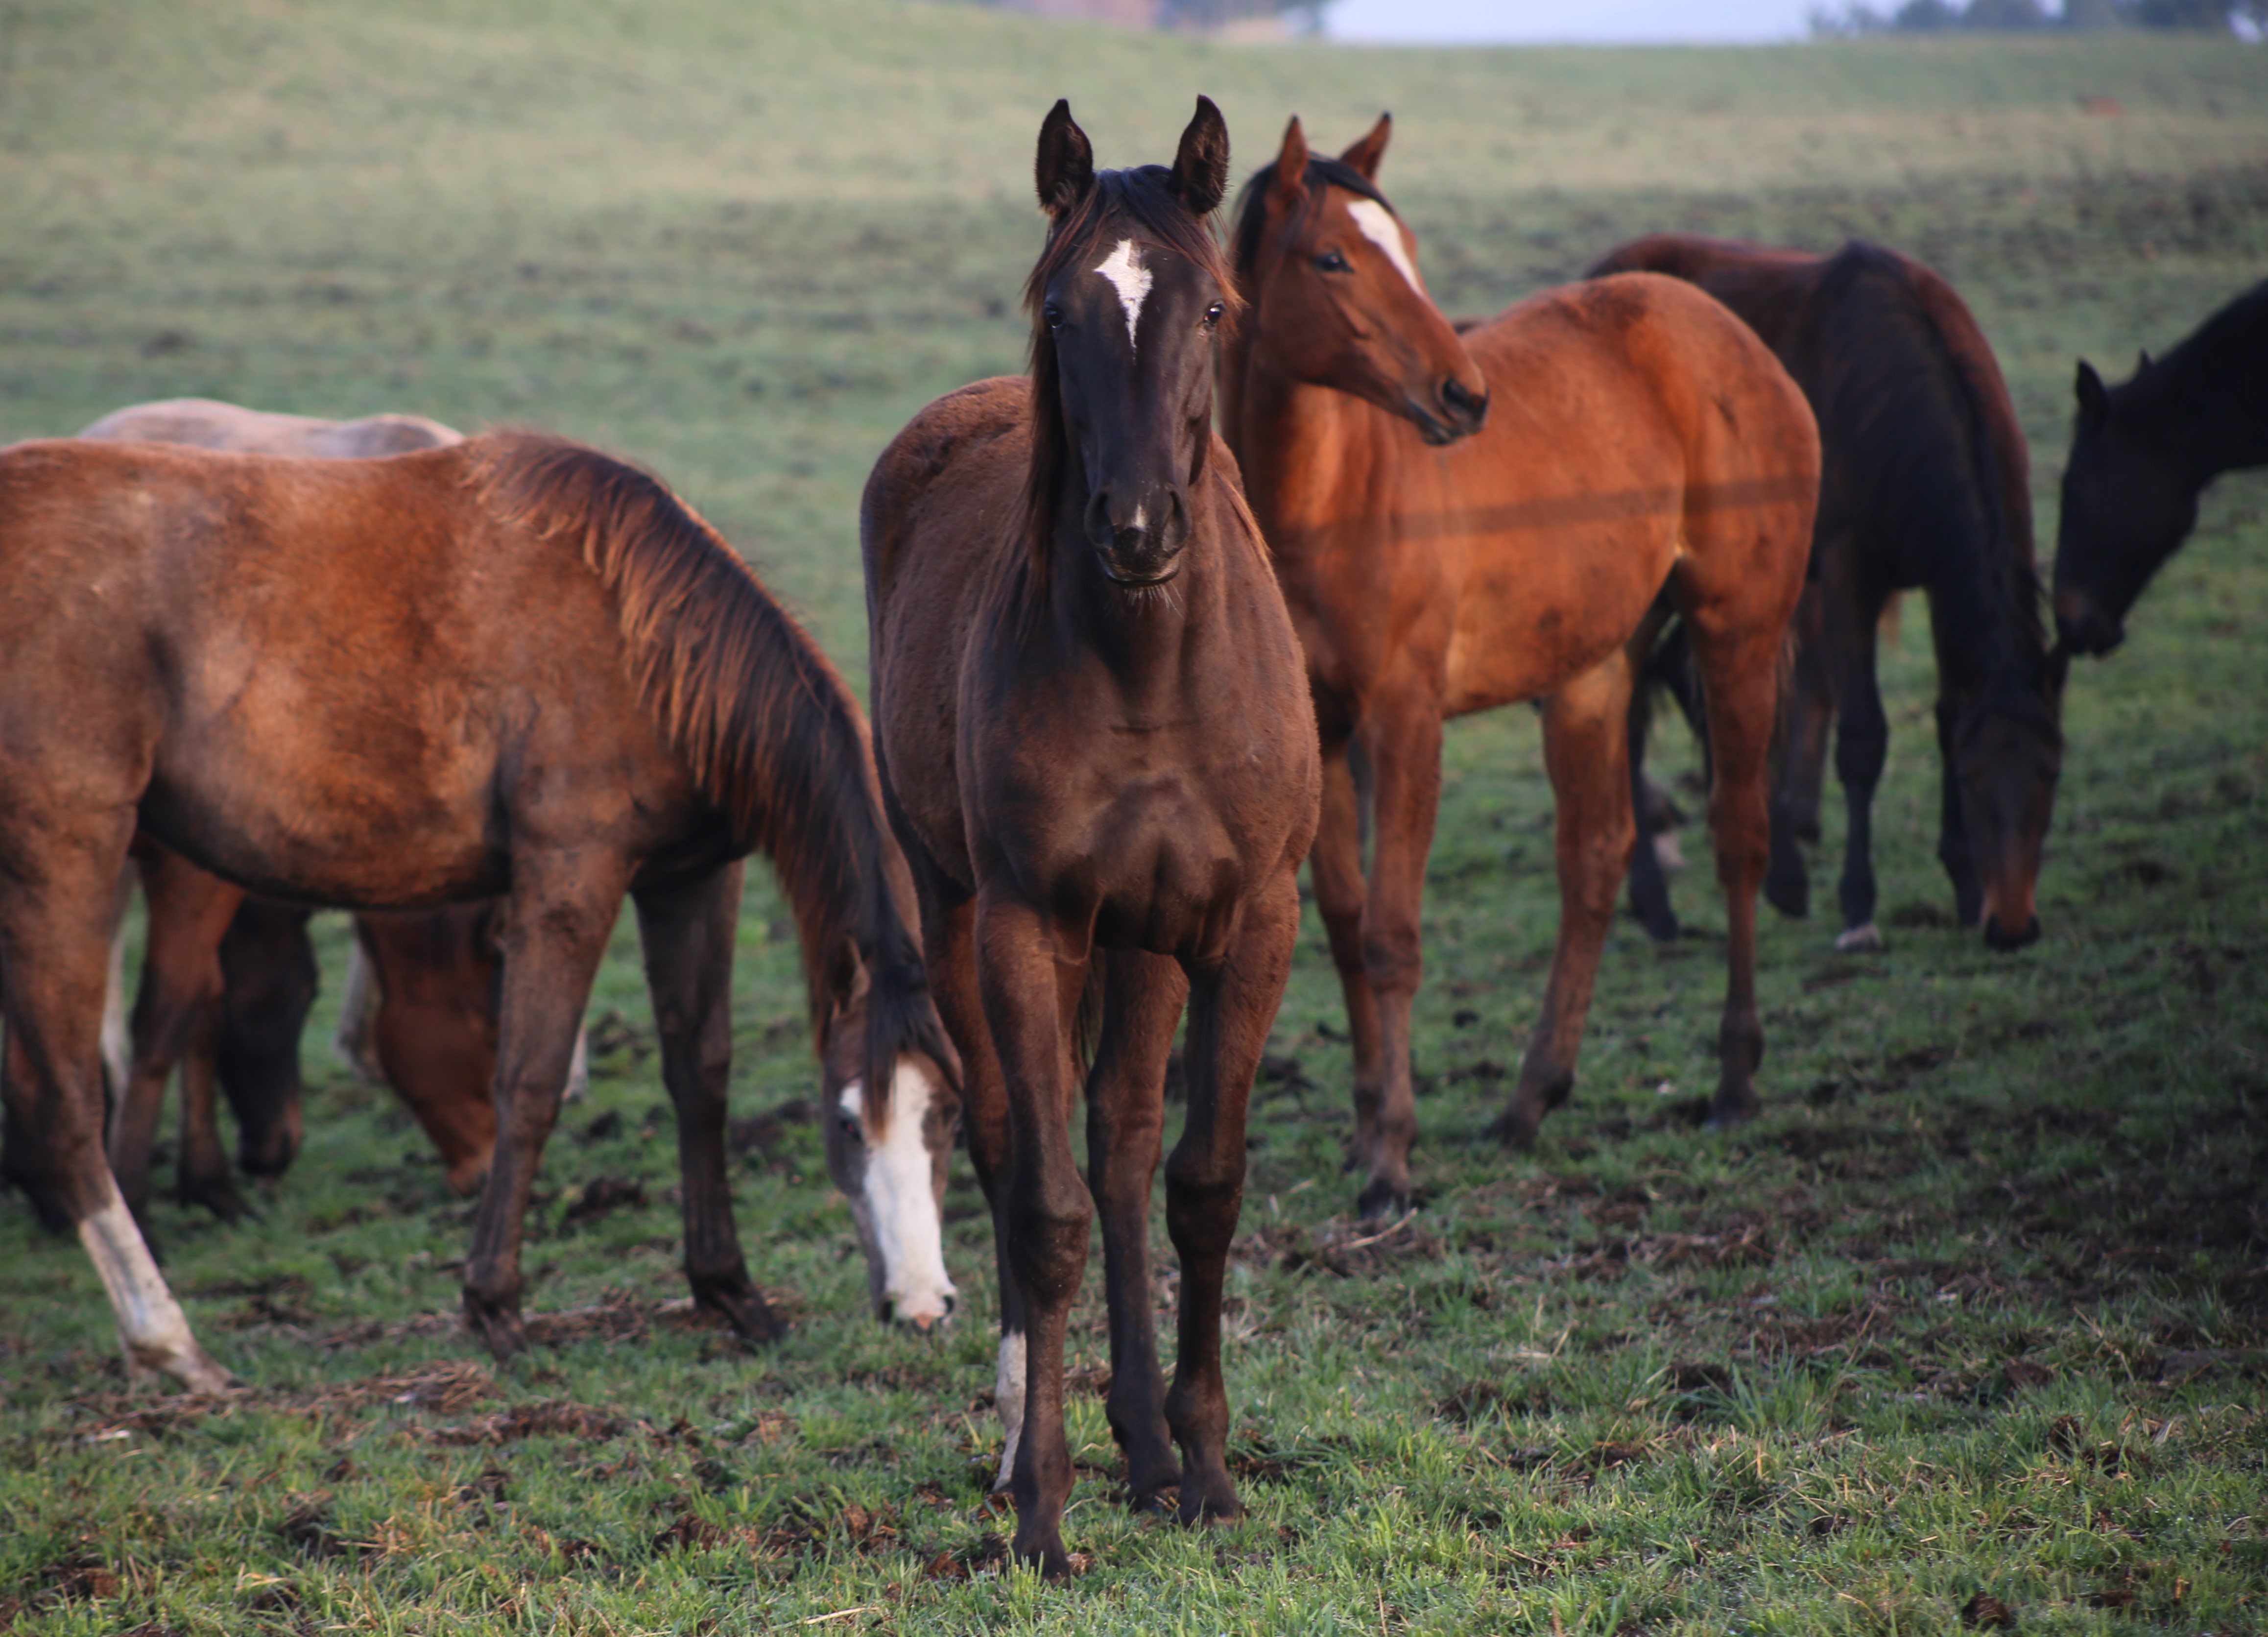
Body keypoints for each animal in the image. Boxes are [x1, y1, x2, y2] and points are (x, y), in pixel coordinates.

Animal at [0, 426, 957, 1387]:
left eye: (944, 1112)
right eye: (845, 1120)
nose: (922, 1306)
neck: (642, 637)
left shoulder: (690, 879)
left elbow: (700, 1074)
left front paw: (730, 1292)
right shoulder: (569, 875)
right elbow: (528, 1082)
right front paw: (495, 1305)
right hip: (65, 855)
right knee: (66, 1102)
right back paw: (169, 1339)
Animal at [866, 98, 1324, 1569]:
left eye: (1211, 306)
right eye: (1063, 311)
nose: (1132, 527)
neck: (1146, 670)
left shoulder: (1246, 921)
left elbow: (1197, 1181)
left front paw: (1207, 1464)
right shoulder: (1026, 926)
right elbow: (1047, 1208)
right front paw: (1043, 1511)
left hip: (1144, 938)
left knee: (1121, 1140)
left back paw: (1148, 1446)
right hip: (966, 908)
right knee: (1019, 1150)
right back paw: (1038, 1441)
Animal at [1216, 111, 1814, 1197]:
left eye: (1405, 248)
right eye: (1332, 258)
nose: (1463, 395)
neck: (1327, 502)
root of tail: (1727, 337)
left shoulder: (1406, 723)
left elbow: (1392, 936)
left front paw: (1391, 1156)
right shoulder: (1325, 731)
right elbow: (1343, 923)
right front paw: (1364, 1129)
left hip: (1736, 638)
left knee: (1737, 838)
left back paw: (1733, 1081)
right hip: (1591, 674)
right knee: (1595, 858)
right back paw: (1532, 1096)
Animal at [1587, 231, 2068, 952]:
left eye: (2050, 773)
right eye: (1973, 778)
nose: (2011, 927)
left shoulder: (1939, 582)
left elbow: (1947, 712)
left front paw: (1960, 884)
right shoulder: (1847, 570)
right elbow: (1862, 737)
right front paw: (1858, 906)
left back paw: (1771, 874)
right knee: (1633, 708)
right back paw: (1656, 903)